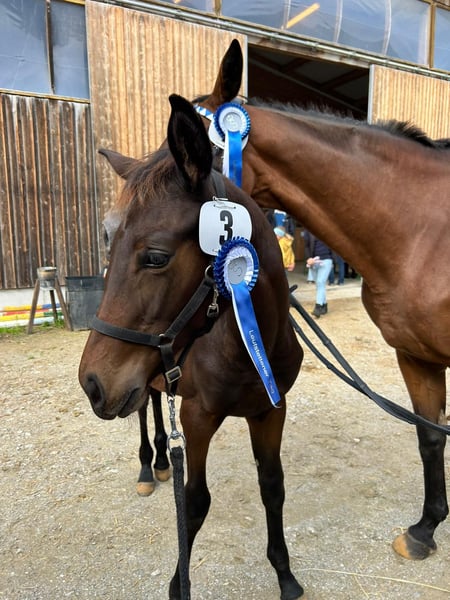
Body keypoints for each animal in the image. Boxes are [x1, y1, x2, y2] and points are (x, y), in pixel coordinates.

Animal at [79, 95, 304, 599]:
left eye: (155, 257)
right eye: (108, 245)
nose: (92, 383)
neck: (248, 343)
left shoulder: (271, 409)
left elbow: (273, 485)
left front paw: (284, 574)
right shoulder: (197, 417)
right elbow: (196, 501)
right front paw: (177, 585)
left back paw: (163, 460)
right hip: (145, 385)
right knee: (147, 412)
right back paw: (151, 466)